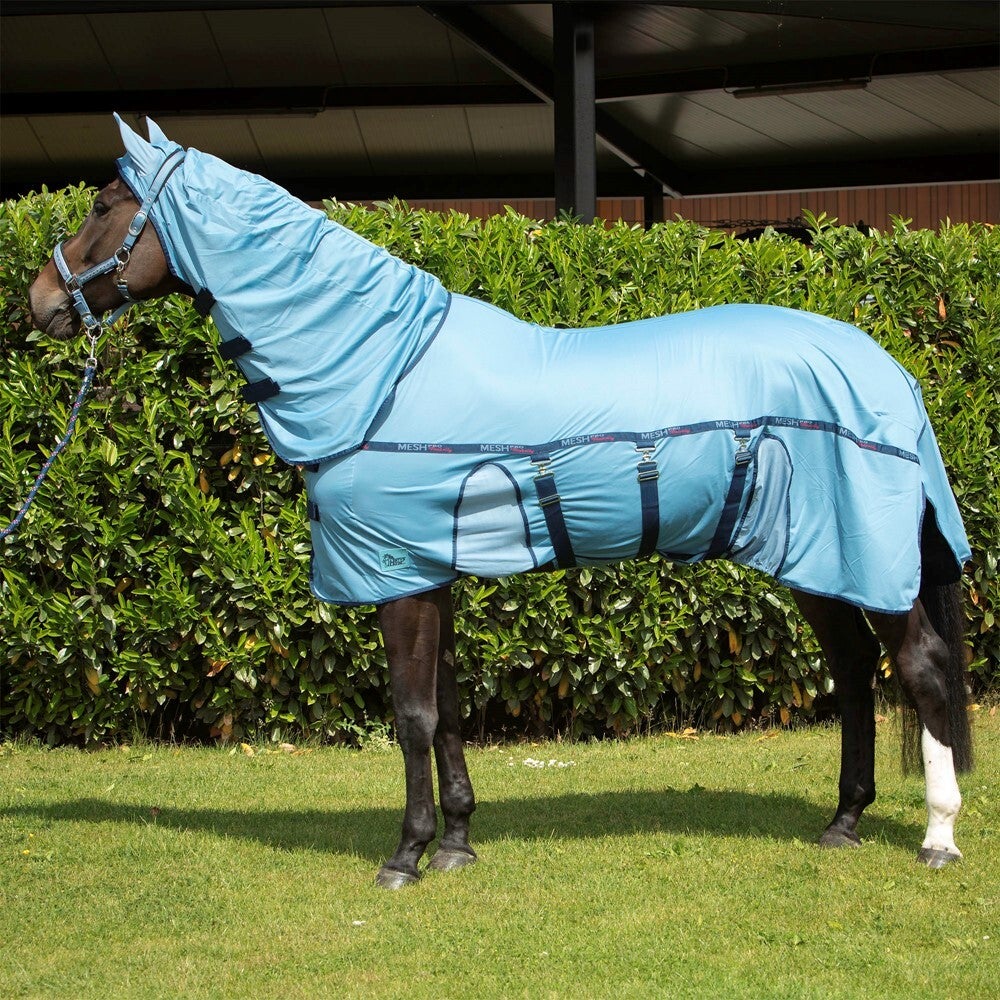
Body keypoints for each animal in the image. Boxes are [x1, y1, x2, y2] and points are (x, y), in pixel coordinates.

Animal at [27, 116, 973, 887]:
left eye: (105, 202)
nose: (37, 302)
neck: (381, 371)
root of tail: (890, 373)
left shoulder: (399, 577)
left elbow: (410, 716)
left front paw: (406, 856)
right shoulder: (430, 571)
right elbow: (445, 711)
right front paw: (456, 843)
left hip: (854, 555)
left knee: (921, 671)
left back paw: (938, 838)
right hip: (817, 557)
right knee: (853, 672)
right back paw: (843, 822)